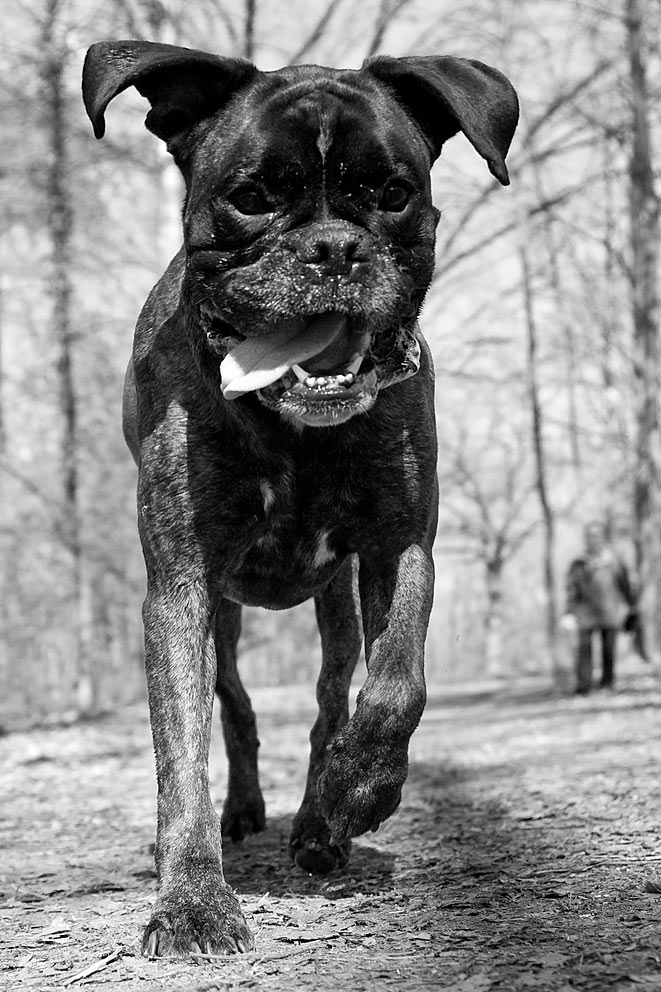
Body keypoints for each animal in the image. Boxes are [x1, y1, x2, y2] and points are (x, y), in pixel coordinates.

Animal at [81, 40, 516, 960]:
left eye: (391, 194)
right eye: (250, 199)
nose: (332, 249)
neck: (294, 430)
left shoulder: (398, 549)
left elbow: (395, 688)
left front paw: (356, 794)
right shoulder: (179, 590)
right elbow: (182, 756)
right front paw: (192, 903)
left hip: (334, 607)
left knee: (328, 701)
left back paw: (320, 818)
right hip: (227, 618)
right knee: (238, 714)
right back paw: (246, 813)